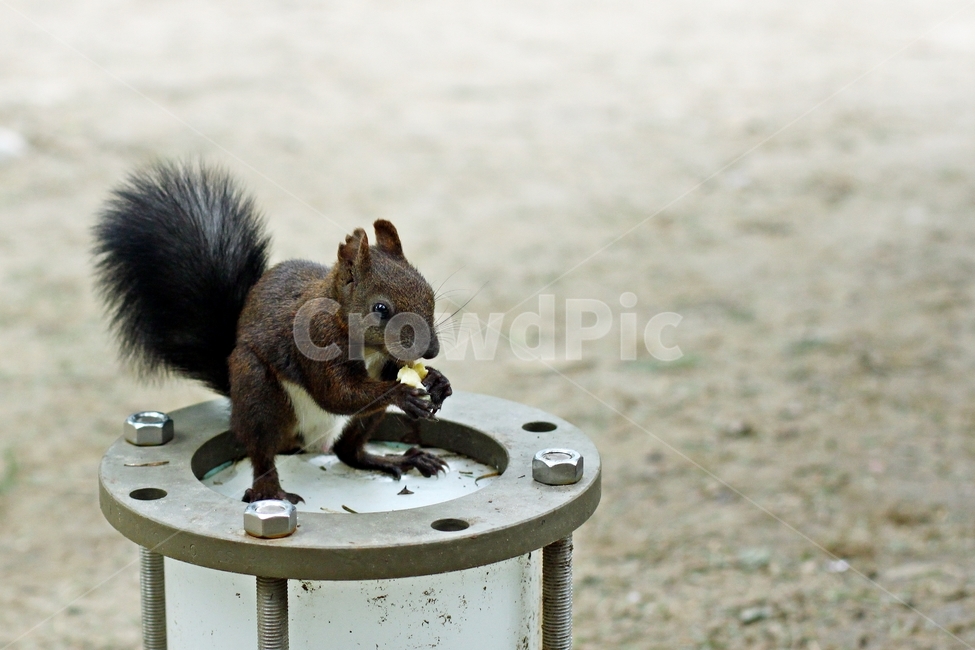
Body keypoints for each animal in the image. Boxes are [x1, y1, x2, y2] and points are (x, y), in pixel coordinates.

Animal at [93, 162, 452, 504]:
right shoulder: (317, 339)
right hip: (259, 394)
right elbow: (338, 394)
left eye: (430, 294)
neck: (367, 346)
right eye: (380, 308)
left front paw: (436, 380)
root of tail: (310, 443)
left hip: (358, 424)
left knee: (348, 452)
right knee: (262, 451)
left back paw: (397, 460)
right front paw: (402, 394)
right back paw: (271, 492)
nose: (431, 351)